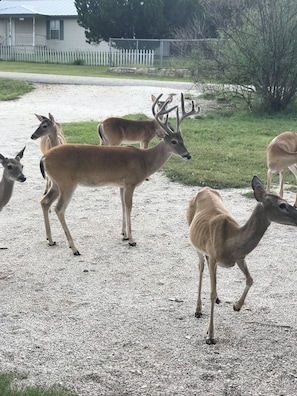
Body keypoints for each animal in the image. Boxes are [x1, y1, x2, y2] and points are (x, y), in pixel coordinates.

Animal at [38, 92, 197, 255]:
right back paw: (74, 248)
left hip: (56, 182)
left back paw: (50, 240)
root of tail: (44, 158)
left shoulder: (121, 184)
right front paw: (132, 240)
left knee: (44, 201)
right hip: (66, 182)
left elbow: (122, 205)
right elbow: (129, 206)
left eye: (183, 139)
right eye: (173, 141)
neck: (145, 161)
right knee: (59, 208)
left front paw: (124, 234)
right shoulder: (131, 182)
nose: (188, 155)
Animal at [186, 175, 296, 344]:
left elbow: (250, 279)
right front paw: (210, 336)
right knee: (200, 266)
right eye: (282, 205)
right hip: (195, 240)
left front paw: (236, 306)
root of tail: (204, 188)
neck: (230, 242)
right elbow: (211, 293)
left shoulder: (240, 257)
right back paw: (198, 309)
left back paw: (218, 299)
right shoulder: (213, 257)